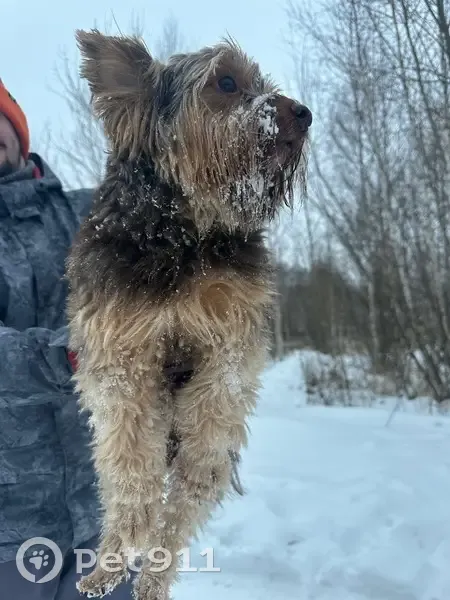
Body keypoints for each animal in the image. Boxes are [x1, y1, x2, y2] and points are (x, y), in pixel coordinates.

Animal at [66, 28, 311, 600]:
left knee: (182, 508)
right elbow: (132, 464)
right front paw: (125, 538)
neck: (184, 233)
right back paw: (108, 566)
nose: (304, 113)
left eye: (259, 83)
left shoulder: (227, 348)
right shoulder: (124, 360)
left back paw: (152, 578)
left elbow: (209, 417)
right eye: (227, 82)